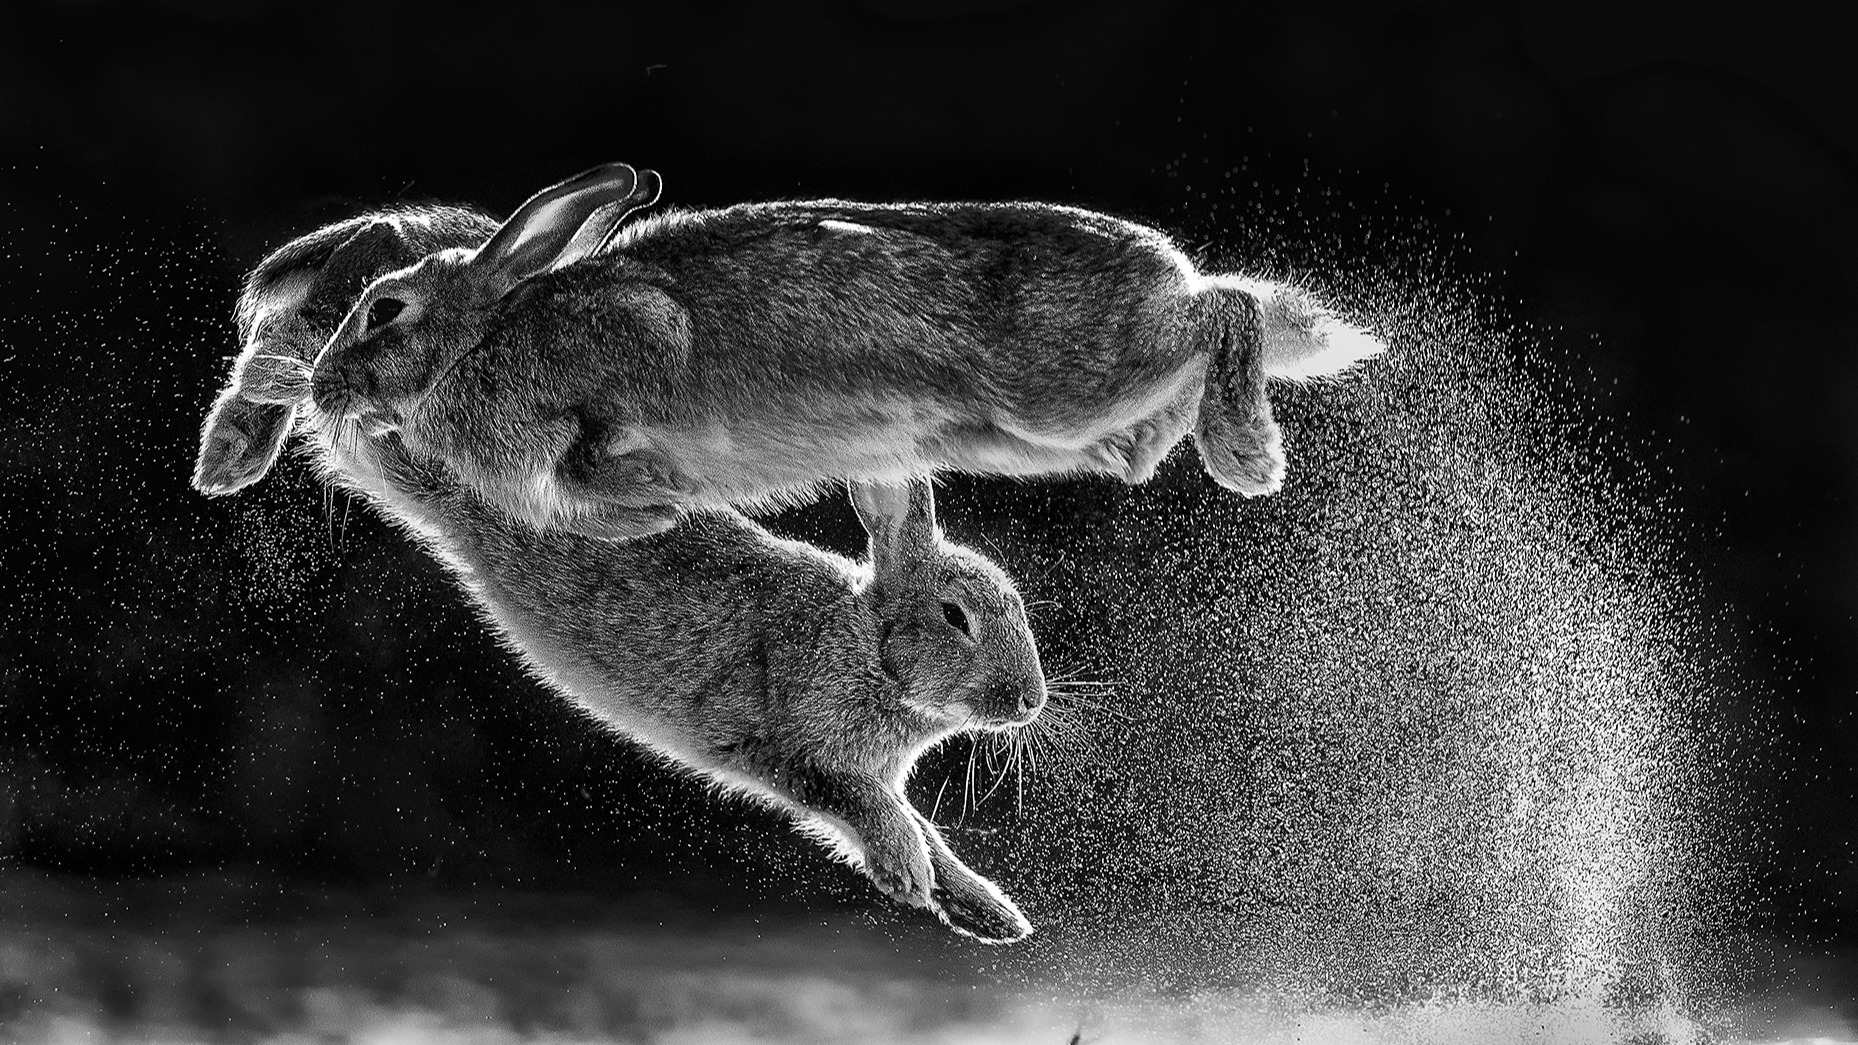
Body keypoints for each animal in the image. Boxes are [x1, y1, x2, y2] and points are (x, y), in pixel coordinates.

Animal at [197, 207, 1044, 943]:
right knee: (300, 352)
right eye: (957, 616)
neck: (866, 642)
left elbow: (930, 831)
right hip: (398, 430)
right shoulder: (791, 747)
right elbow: (871, 809)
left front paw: (990, 914)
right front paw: (909, 875)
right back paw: (234, 445)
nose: (1029, 701)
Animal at [306, 162, 1385, 540]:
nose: (318, 390)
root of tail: (1166, 268)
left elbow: (607, 430)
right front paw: (646, 510)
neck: (484, 337)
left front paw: (646, 483)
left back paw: (1247, 454)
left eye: (384, 310)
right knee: (1154, 420)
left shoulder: (633, 341)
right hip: (1055, 432)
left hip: (1064, 387)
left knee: (1229, 308)